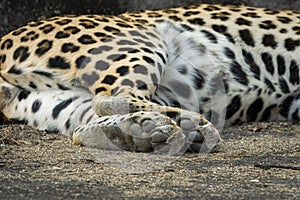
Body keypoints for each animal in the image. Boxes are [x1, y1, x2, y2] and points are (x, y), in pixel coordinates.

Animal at [0, 3, 298, 153]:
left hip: (54, 103)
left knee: (83, 125)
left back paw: (140, 131)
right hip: (142, 40)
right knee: (112, 96)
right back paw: (191, 126)